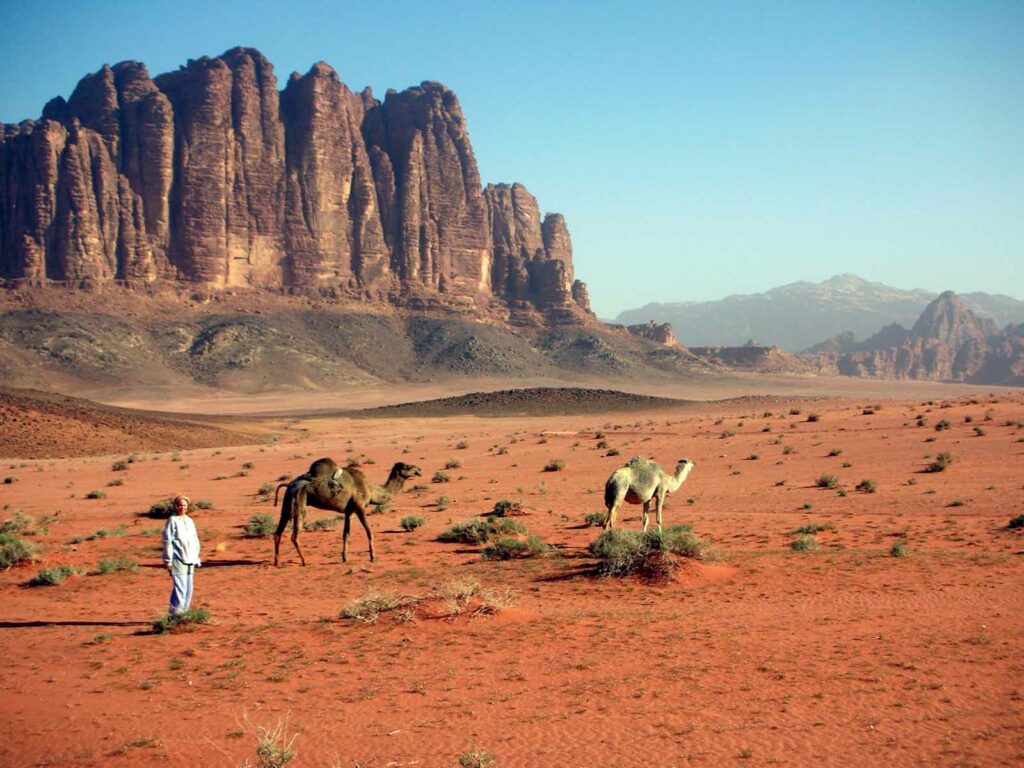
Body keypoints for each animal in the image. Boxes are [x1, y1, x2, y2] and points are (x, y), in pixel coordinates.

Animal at [272, 460, 419, 569]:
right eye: (407, 466)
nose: (419, 469)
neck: (371, 490)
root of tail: (290, 484)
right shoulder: (360, 508)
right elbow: (369, 531)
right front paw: (373, 557)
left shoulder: (349, 512)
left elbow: (346, 534)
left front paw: (345, 558)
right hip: (300, 502)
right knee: (295, 535)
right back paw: (304, 561)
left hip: (287, 503)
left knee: (278, 532)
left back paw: (277, 562)